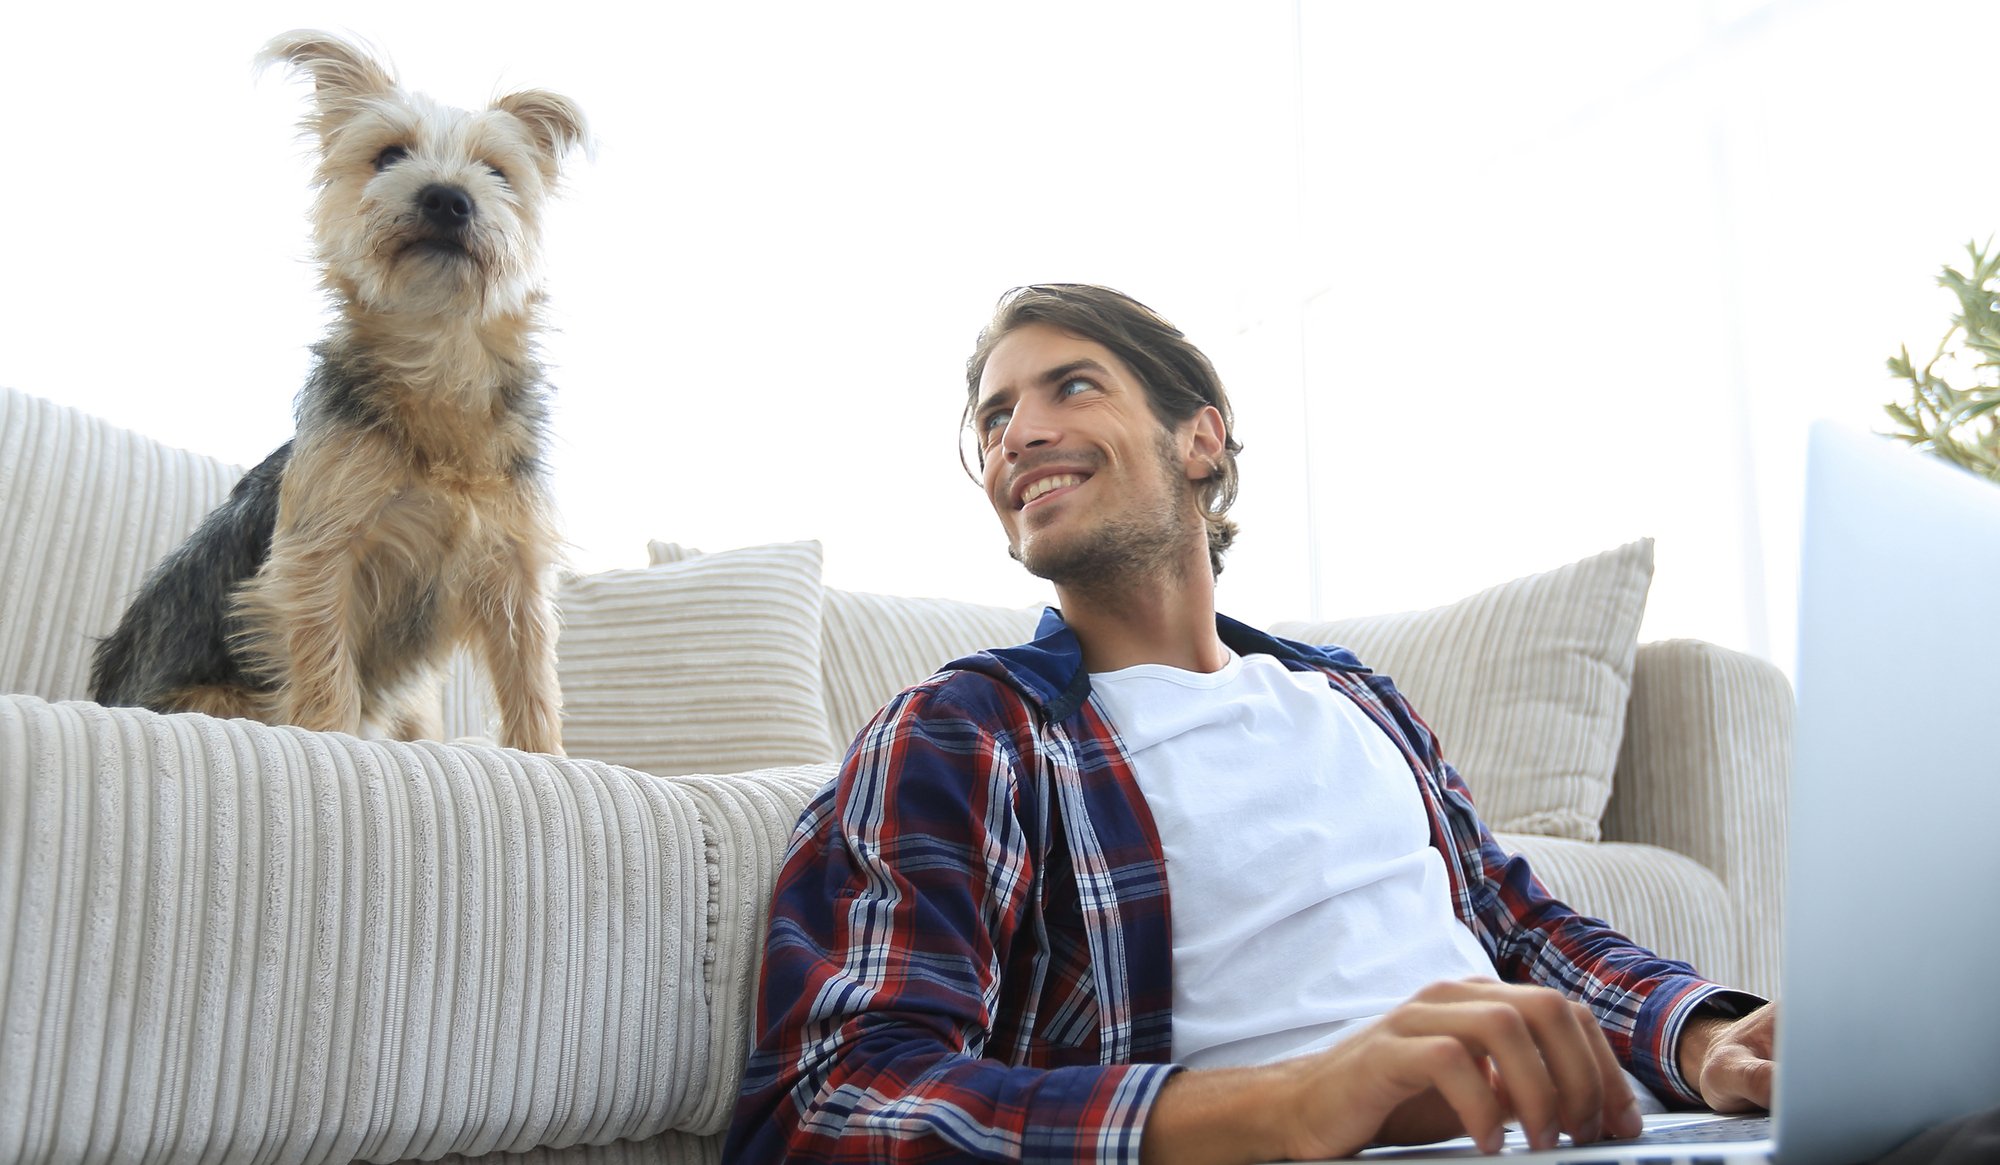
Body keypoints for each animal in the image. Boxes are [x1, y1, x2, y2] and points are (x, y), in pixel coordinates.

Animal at [90, 34, 584, 756]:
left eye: (496, 172)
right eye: (388, 155)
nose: (448, 198)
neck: (437, 364)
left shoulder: (514, 565)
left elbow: (532, 679)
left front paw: (545, 759)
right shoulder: (321, 553)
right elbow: (324, 661)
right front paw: (329, 737)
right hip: (217, 698)